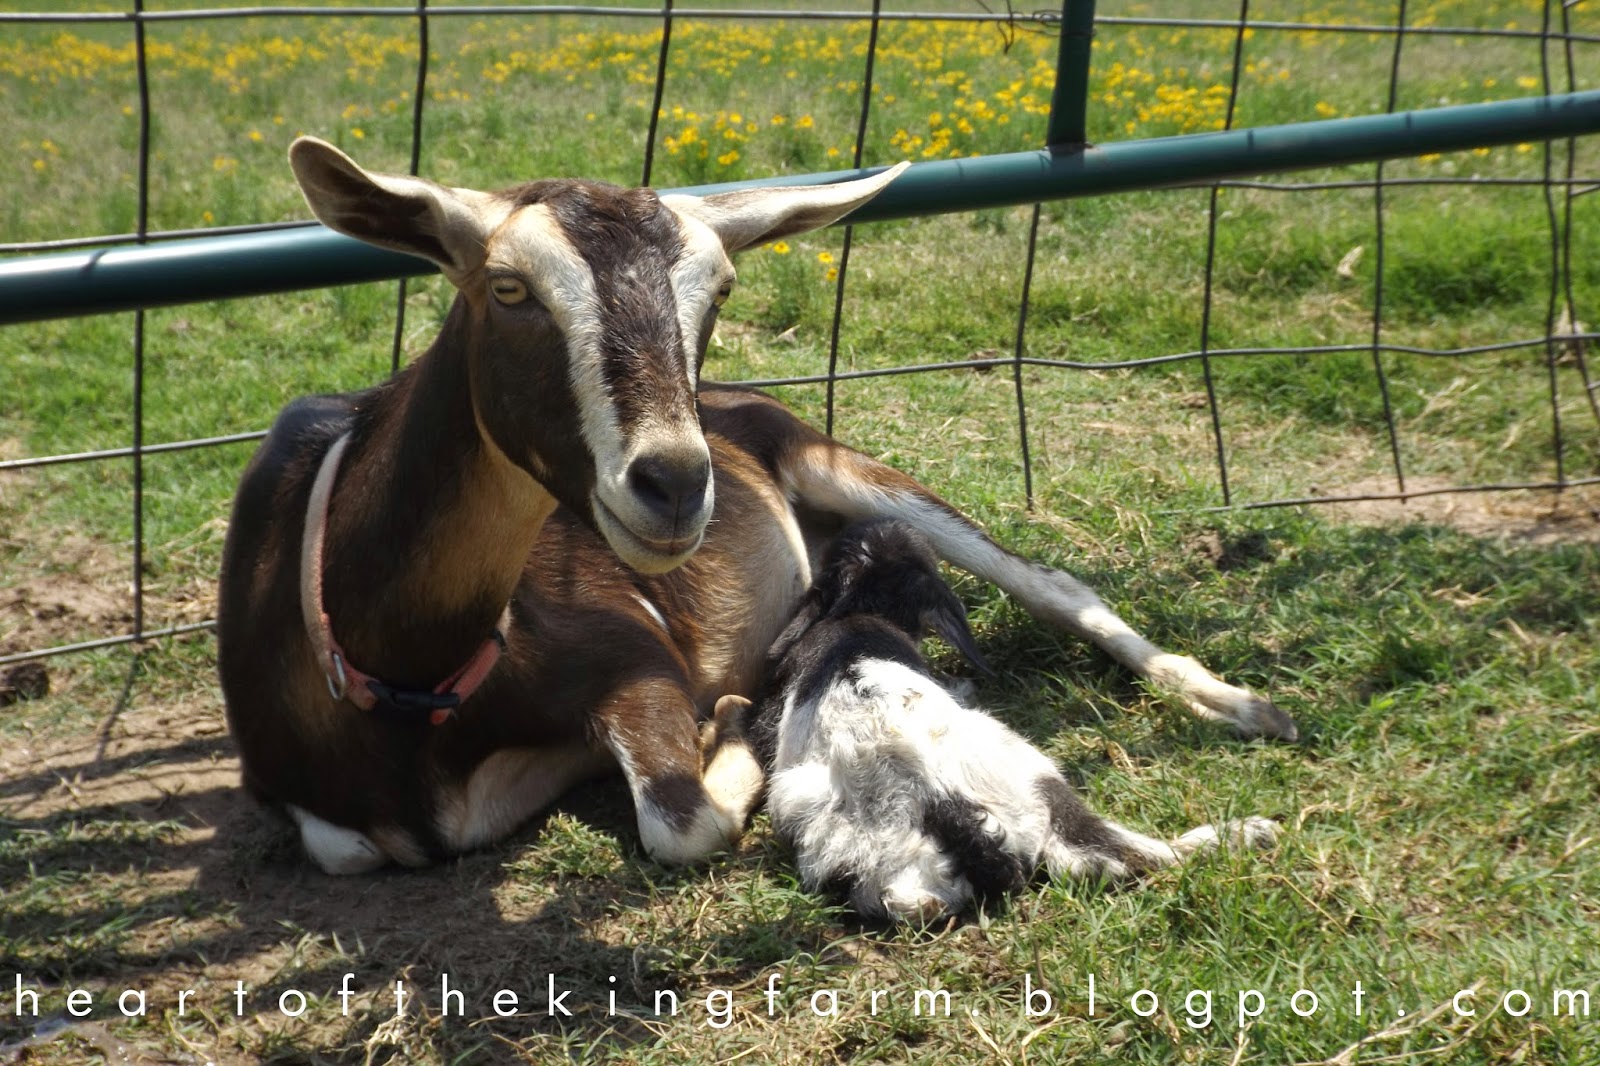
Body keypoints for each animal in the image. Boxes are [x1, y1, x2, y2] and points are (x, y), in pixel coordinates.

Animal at [216, 138, 1297, 876]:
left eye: (721, 290)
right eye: (509, 288)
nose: (674, 483)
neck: (403, 670)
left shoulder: (636, 654)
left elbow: (682, 817)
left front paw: (729, 723)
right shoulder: (304, 803)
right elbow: (355, 845)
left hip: (839, 466)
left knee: (1055, 585)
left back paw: (1239, 703)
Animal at [735, 518, 1279, 923]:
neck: (852, 614)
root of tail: (932, 801)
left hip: (850, 846)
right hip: (1035, 778)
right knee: (1115, 855)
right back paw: (1247, 832)